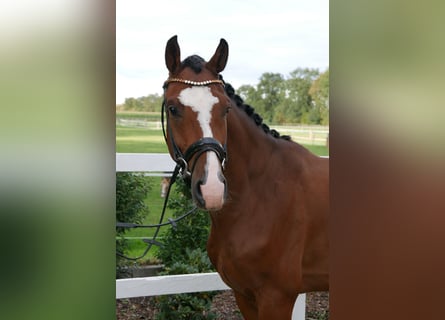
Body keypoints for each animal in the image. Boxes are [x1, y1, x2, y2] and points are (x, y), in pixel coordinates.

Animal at [161, 36, 328, 318]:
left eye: (226, 109)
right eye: (173, 108)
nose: (212, 189)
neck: (259, 194)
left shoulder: (277, 298)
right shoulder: (243, 295)